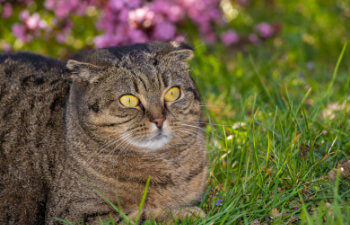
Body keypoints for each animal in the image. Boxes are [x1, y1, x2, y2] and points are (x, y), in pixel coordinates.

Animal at [0, 41, 208, 224]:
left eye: (173, 93)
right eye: (128, 100)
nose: (159, 119)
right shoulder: (74, 214)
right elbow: (138, 217)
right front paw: (187, 214)